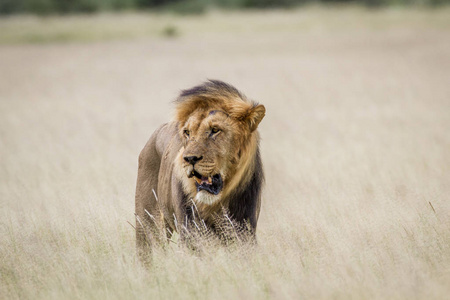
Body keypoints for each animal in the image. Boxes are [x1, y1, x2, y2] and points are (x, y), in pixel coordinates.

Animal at [135, 78, 266, 254]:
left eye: (215, 130)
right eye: (187, 132)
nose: (189, 158)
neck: (216, 204)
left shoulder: (245, 232)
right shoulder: (191, 234)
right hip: (147, 223)